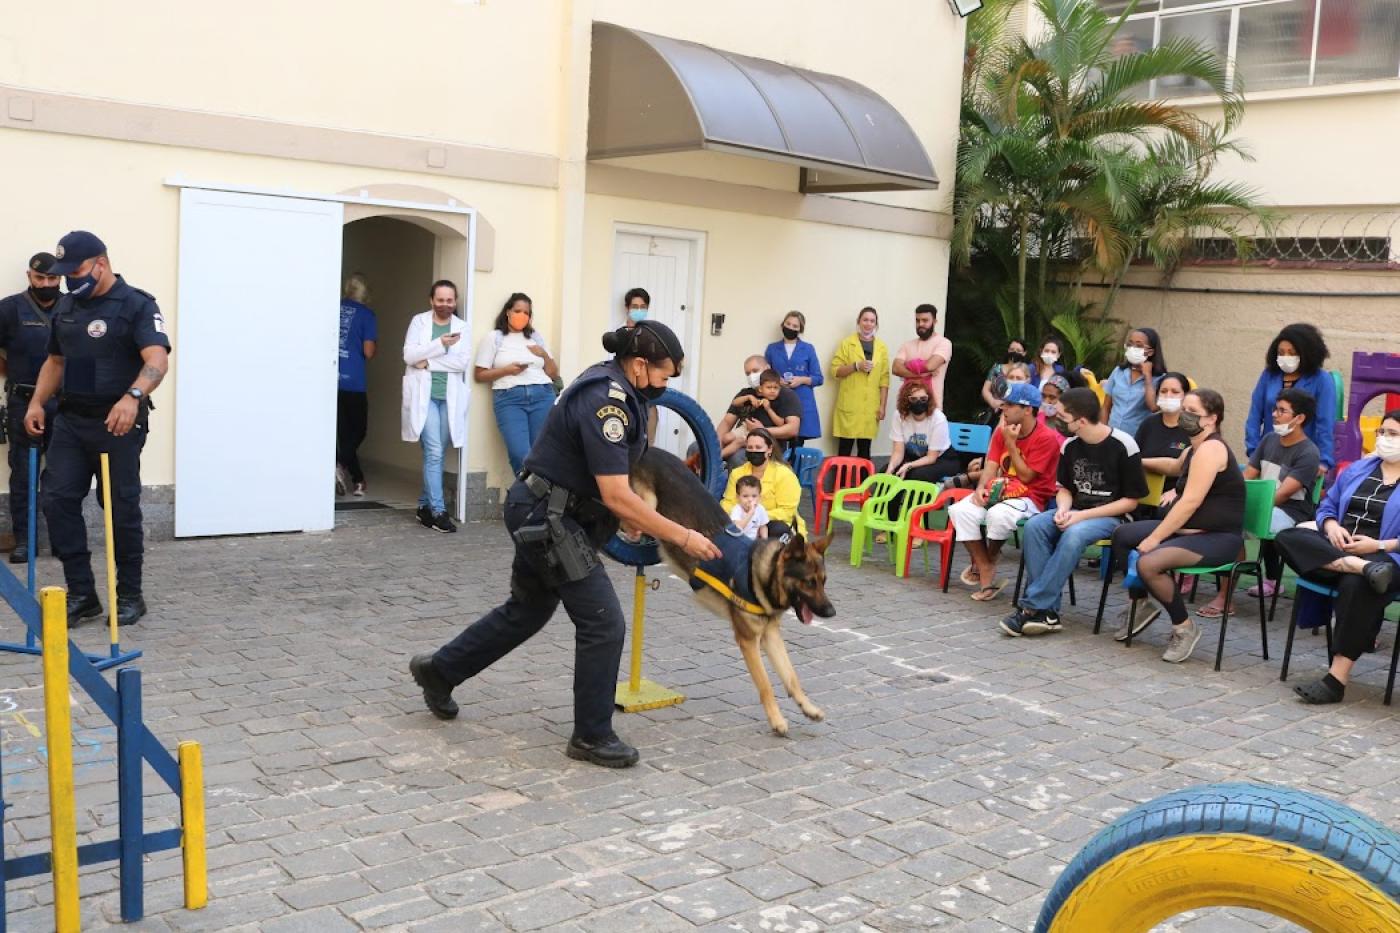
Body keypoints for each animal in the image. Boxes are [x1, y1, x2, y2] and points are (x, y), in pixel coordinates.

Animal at [630, 448, 834, 728]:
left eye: (823, 581)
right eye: (808, 582)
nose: (832, 612)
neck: (760, 575)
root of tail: (651, 449)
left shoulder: (771, 636)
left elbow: (791, 677)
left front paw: (808, 708)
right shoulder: (749, 642)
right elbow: (766, 685)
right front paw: (776, 720)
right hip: (647, 503)